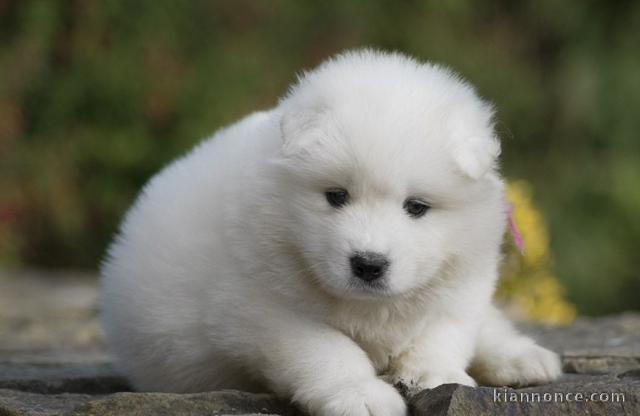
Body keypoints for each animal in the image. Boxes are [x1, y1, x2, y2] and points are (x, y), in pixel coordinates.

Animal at [100, 50, 560, 414]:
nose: (368, 265)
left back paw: (523, 358)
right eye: (336, 196)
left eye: (416, 207)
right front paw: (361, 395)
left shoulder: (462, 276)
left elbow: (444, 331)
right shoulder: (263, 308)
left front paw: (434, 375)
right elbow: (326, 350)